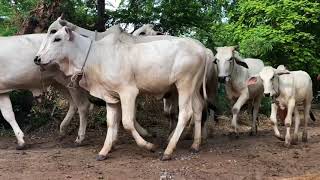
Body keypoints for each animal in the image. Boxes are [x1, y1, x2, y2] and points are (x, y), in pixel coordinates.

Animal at [35, 26, 209, 160]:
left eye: (57, 39)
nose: (37, 58)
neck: (96, 57)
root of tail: (203, 49)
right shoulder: (110, 97)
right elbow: (111, 123)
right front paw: (104, 151)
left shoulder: (128, 92)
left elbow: (126, 122)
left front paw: (148, 145)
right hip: (194, 87)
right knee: (198, 108)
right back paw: (195, 144)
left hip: (184, 84)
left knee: (186, 113)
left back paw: (168, 150)